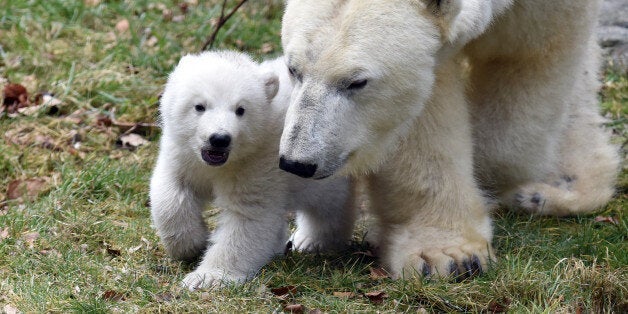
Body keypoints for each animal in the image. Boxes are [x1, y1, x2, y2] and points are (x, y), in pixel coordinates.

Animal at [278, 0, 620, 280]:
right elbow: (423, 113)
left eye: (356, 82)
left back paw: (552, 192)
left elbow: (527, 52)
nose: (298, 162)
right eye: (293, 69)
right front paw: (449, 256)